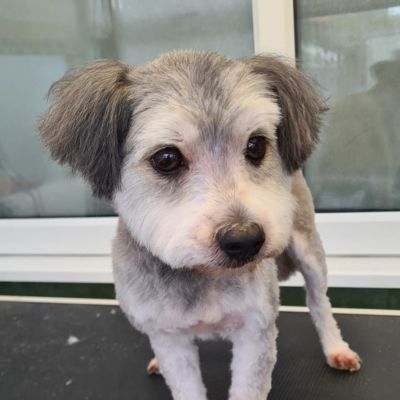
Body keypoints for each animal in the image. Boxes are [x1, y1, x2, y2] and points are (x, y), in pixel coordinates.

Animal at [39, 50, 360, 400]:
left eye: (256, 145)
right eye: (167, 158)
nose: (244, 239)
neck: (200, 273)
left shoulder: (255, 330)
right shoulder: (168, 337)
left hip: (307, 247)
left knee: (318, 301)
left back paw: (335, 347)